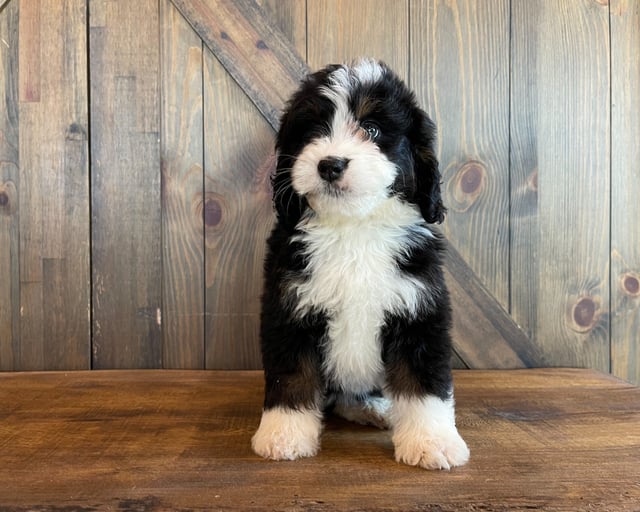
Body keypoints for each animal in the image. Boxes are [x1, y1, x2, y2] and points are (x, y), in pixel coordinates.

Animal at [251, 58, 470, 470]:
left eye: (371, 129)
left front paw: (432, 441)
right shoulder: (289, 307)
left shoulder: (420, 308)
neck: (354, 227)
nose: (330, 164)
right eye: (314, 130)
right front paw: (283, 435)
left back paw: (376, 409)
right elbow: (291, 378)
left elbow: (422, 381)